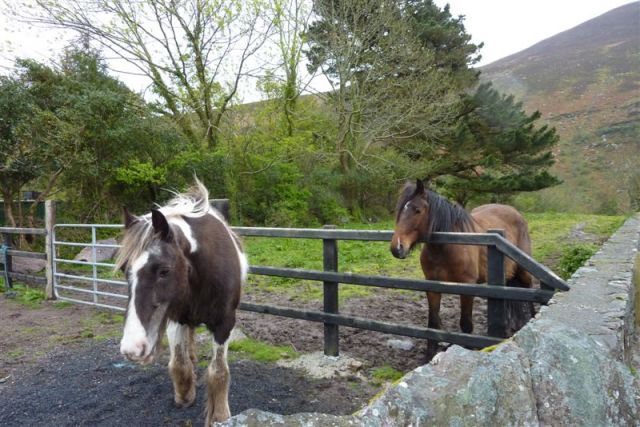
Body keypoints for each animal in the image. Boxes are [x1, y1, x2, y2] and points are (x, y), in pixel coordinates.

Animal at [115, 180, 248, 424]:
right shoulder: (175, 317)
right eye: (123, 269)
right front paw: (184, 395)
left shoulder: (224, 323)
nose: (132, 349)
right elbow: (178, 362)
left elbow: (219, 371)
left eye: (164, 270)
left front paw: (220, 415)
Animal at [390, 181, 536, 358]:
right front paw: (430, 355)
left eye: (417, 210)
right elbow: (433, 323)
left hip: (524, 271)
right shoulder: (432, 286)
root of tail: (515, 212)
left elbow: (466, 324)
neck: (449, 245)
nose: (397, 248)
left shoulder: (467, 287)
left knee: (529, 293)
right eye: (400, 210)